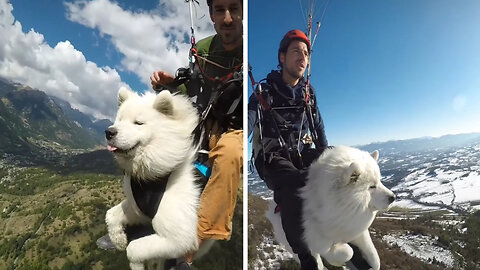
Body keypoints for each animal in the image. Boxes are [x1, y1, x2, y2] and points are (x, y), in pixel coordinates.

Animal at [104, 88, 204, 270]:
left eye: (138, 123)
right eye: (119, 120)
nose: (109, 132)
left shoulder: (180, 238)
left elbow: (134, 249)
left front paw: (136, 264)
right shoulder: (138, 209)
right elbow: (111, 214)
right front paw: (119, 240)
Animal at [266, 147, 394, 268]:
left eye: (379, 181)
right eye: (371, 186)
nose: (393, 197)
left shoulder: (355, 229)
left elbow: (373, 254)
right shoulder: (316, 243)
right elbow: (348, 252)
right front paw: (338, 259)